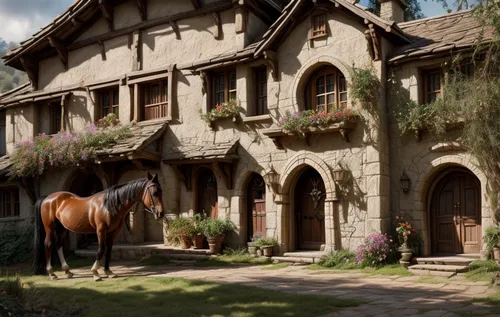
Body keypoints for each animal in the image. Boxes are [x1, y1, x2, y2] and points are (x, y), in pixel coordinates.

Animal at [33, 173, 166, 278]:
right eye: (154, 193)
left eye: (161, 191)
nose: (161, 213)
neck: (109, 205)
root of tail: (47, 198)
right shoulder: (101, 230)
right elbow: (101, 249)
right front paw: (95, 272)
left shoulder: (114, 232)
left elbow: (109, 249)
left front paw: (108, 271)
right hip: (50, 228)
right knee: (48, 244)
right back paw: (52, 273)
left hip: (62, 229)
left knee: (58, 245)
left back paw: (67, 271)